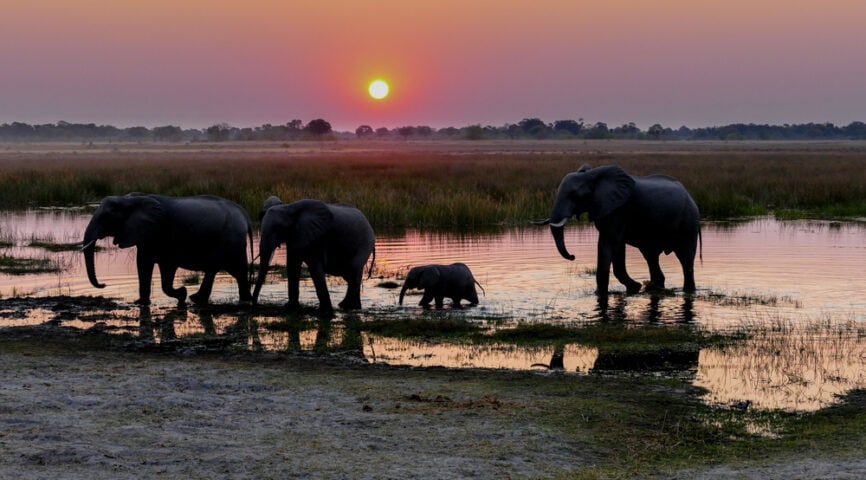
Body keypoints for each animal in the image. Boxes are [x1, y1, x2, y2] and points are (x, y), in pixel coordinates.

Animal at [82, 193, 254, 306]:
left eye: (105, 217)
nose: (103, 285)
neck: (129, 200)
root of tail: (244, 214)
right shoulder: (145, 233)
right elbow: (143, 263)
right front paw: (140, 303)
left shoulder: (159, 232)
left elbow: (165, 267)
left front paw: (182, 294)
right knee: (235, 272)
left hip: (229, 239)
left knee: (220, 268)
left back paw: (196, 299)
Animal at [539, 164, 701, 295]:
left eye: (575, 195)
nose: (573, 256)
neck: (592, 175)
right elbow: (616, 246)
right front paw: (634, 287)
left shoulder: (619, 209)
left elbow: (608, 243)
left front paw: (600, 294)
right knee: (651, 256)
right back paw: (654, 288)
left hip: (689, 224)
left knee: (686, 259)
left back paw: (688, 291)